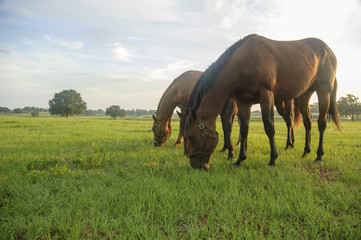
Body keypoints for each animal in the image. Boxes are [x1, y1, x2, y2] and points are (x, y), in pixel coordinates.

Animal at [181, 34, 338, 171]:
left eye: (190, 136)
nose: (196, 165)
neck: (244, 61)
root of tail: (329, 51)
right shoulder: (244, 101)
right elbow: (244, 129)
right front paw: (240, 160)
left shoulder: (266, 95)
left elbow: (269, 127)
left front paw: (273, 160)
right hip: (304, 96)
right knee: (308, 122)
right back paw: (306, 152)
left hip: (323, 91)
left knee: (321, 123)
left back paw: (318, 156)